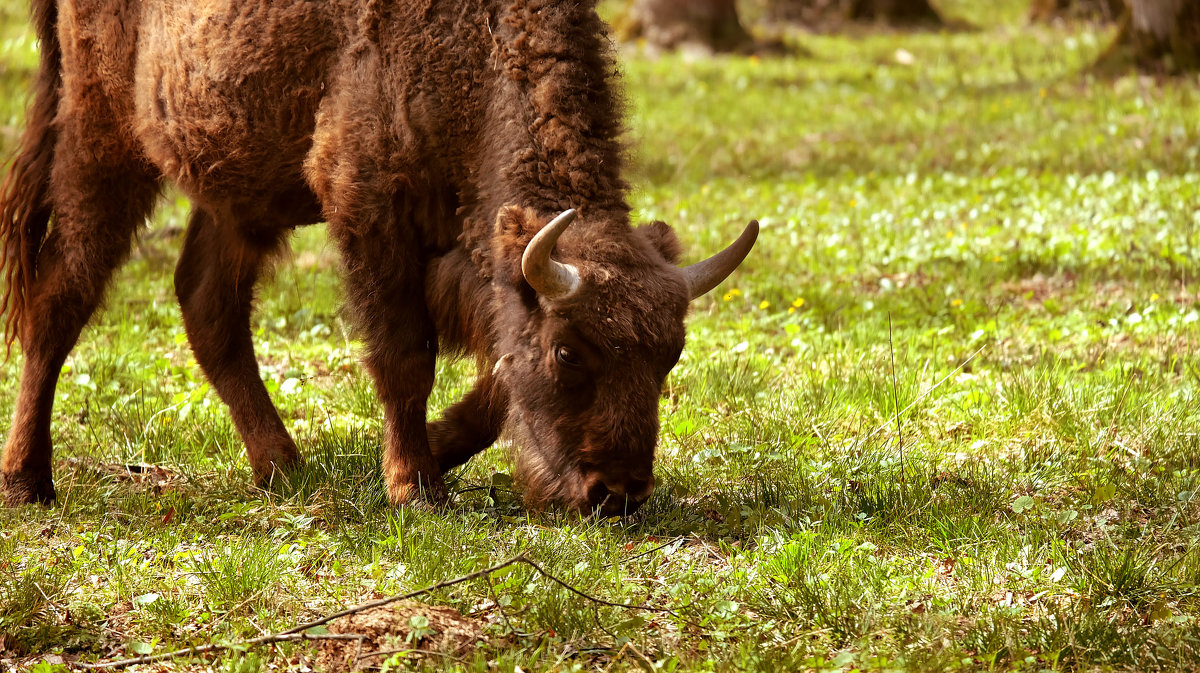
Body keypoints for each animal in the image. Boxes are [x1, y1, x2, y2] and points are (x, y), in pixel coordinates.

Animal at [0, 0, 753, 513]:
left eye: (670, 355)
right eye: (569, 351)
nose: (616, 492)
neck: (479, 48)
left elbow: (494, 380)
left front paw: (427, 456)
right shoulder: (370, 213)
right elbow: (404, 358)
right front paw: (414, 486)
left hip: (236, 186)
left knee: (208, 304)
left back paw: (282, 467)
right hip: (102, 138)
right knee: (61, 297)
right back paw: (28, 480)